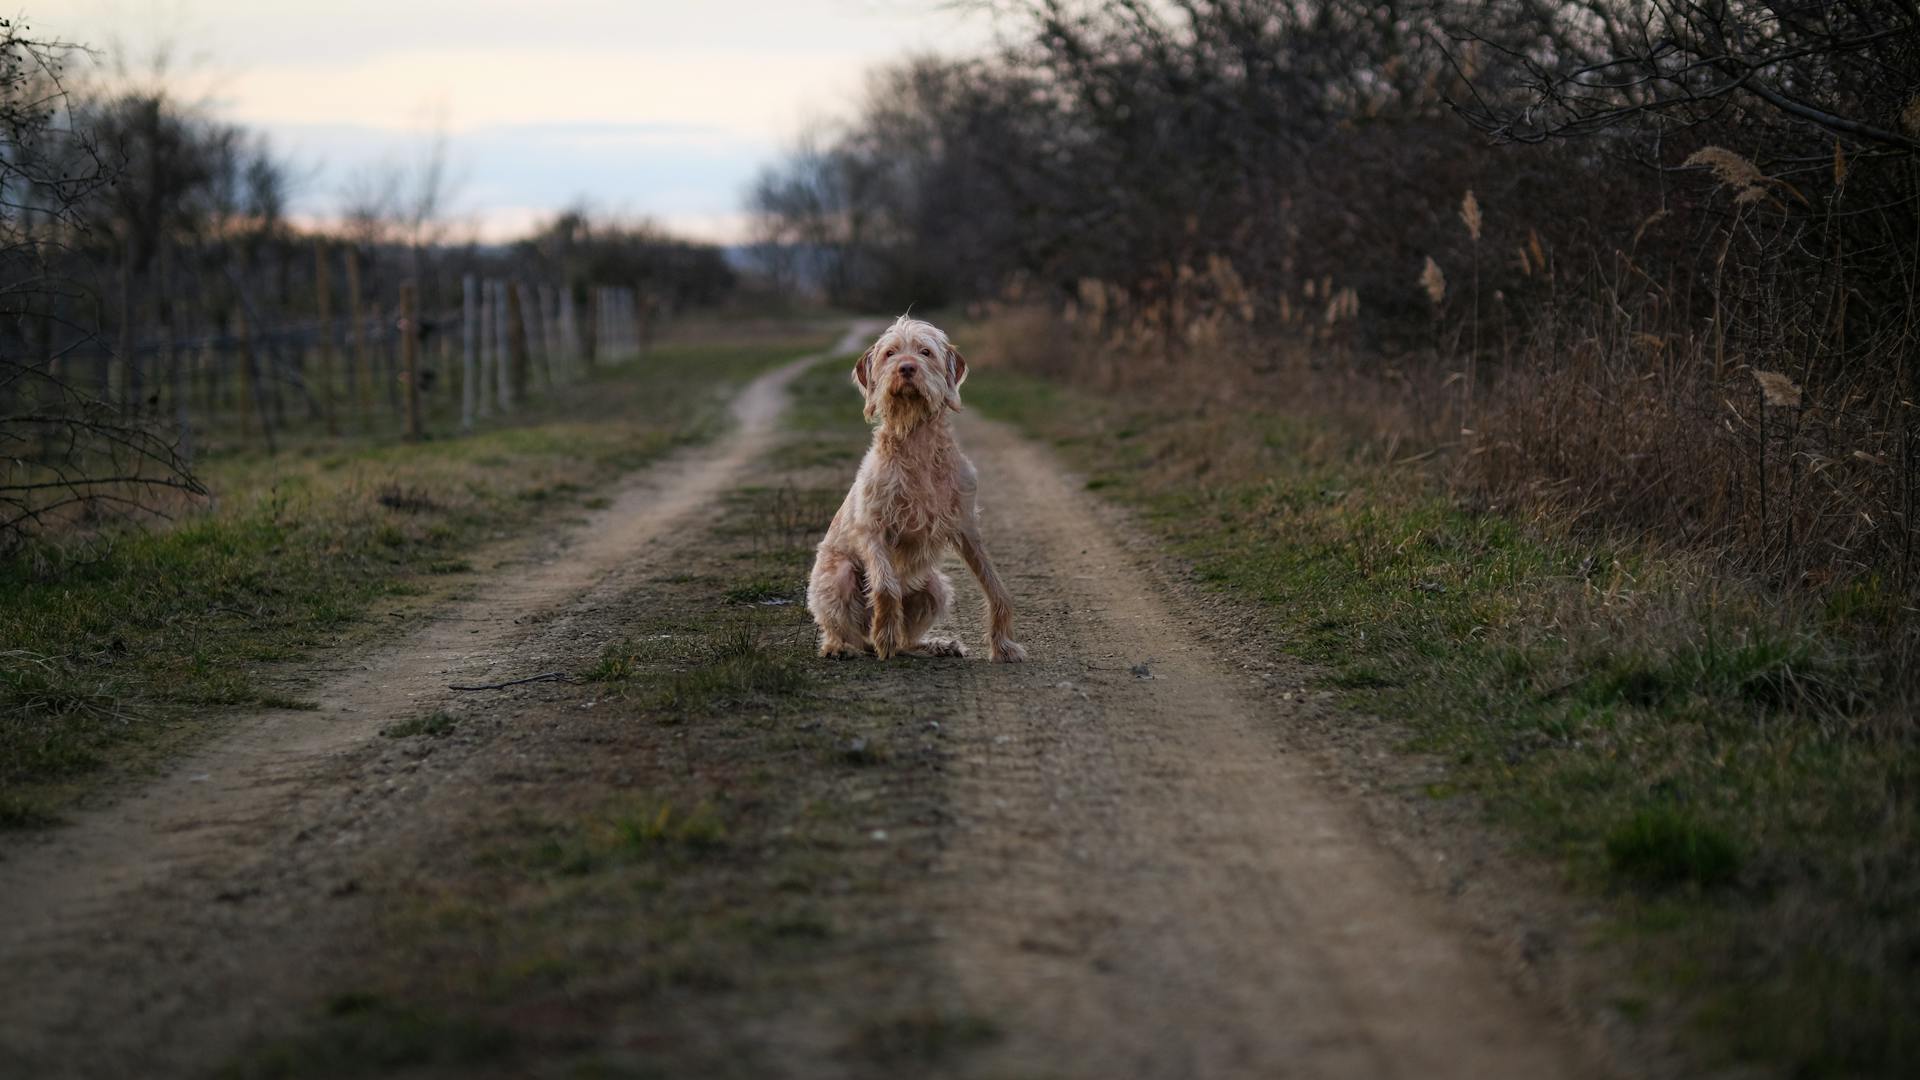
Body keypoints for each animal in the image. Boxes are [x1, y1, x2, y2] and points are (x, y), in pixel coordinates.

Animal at [806, 315, 1029, 661]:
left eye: (925, 352)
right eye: (890, 353)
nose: (907, 368)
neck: (916, 440)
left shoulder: (966, 526)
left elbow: (996, 587)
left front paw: (1004, 646)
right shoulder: (872, 529)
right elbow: (885, 586)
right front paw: (884, 635)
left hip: (934, 585)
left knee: (908, 639)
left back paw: (937, 645)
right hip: (837, 576)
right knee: (844, 630)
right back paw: (841, 646)